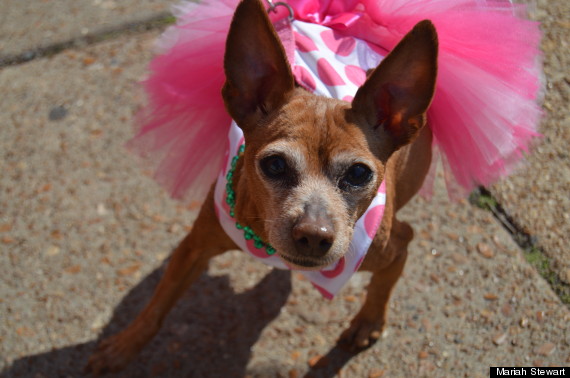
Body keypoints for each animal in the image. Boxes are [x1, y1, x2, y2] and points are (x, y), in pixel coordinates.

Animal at [86, 0, 438, 372]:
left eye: (358, 174)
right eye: (275, 165)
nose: (314, 235)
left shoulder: (389, 247)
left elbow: (391, 269)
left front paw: (369, 322)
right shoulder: (193, 247)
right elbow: (156, 307)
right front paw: (122, 347)